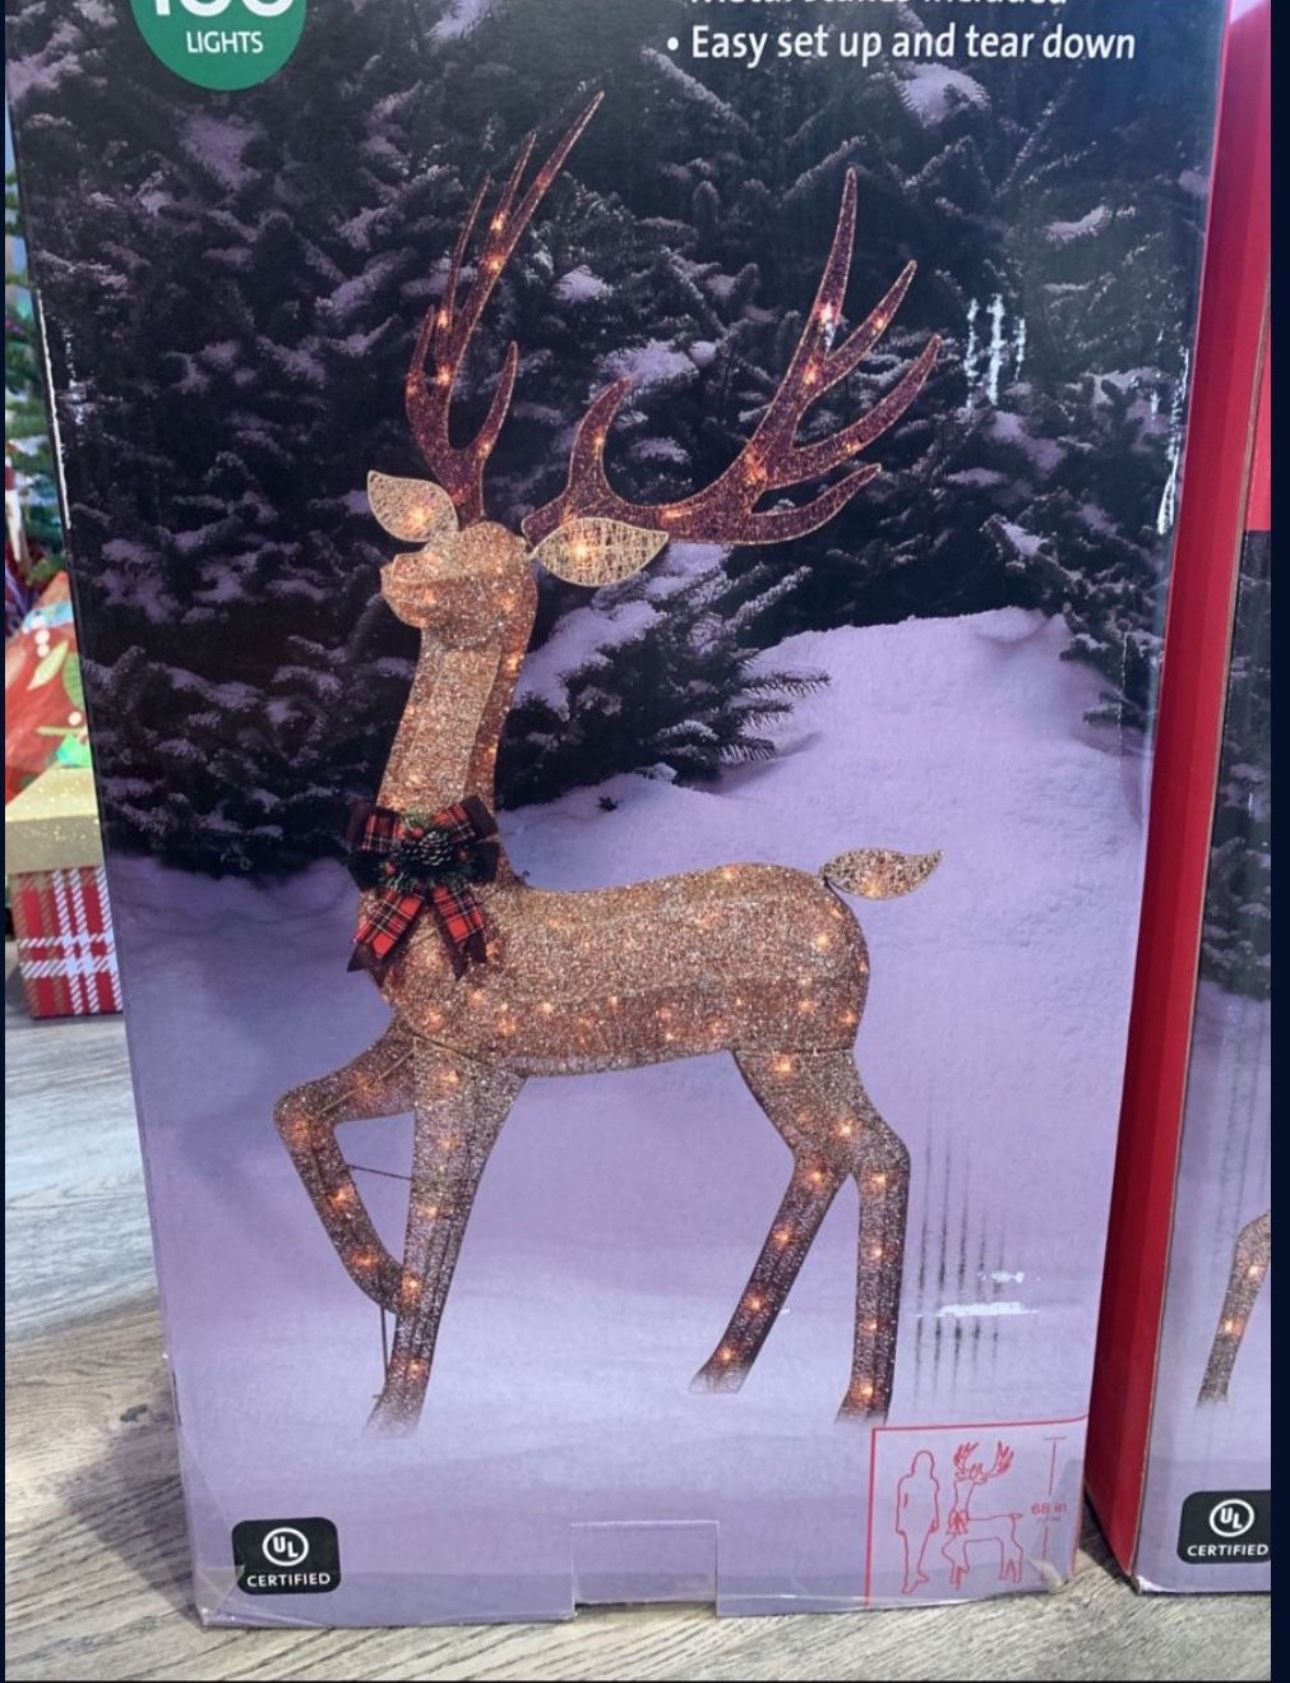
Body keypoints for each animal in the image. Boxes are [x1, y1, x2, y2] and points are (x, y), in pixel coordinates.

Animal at [274, 95, 942, 1433]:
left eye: (501, 570)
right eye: (445, 529)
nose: (397, 575)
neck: (451, 879)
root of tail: (841, 889)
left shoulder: (481, 1066)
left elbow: (442, 1251)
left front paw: (393, 1417)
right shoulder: (419, 1048)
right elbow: (296, 1111)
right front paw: (366, 1283)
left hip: (806, 1036)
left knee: (883, 1152)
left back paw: (858, 1405)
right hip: (775, 1050)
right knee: (828, 1156)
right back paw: (720, 1370)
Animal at [940, 1442, 1025, 1592]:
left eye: (969, 1481)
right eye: (962, 1477)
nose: (956, 1481)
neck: (963, 1517)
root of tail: (1013, 1517)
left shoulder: (960, 1540)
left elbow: (952, 1554)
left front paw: (957, 1577)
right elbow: (948, 1552)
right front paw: (954, 1580)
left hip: (1006, 1537)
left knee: (1015, 1551)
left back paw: (1011, 1578)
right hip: (1005, 1539)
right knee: (1012, 1552)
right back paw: (1007, 1577)